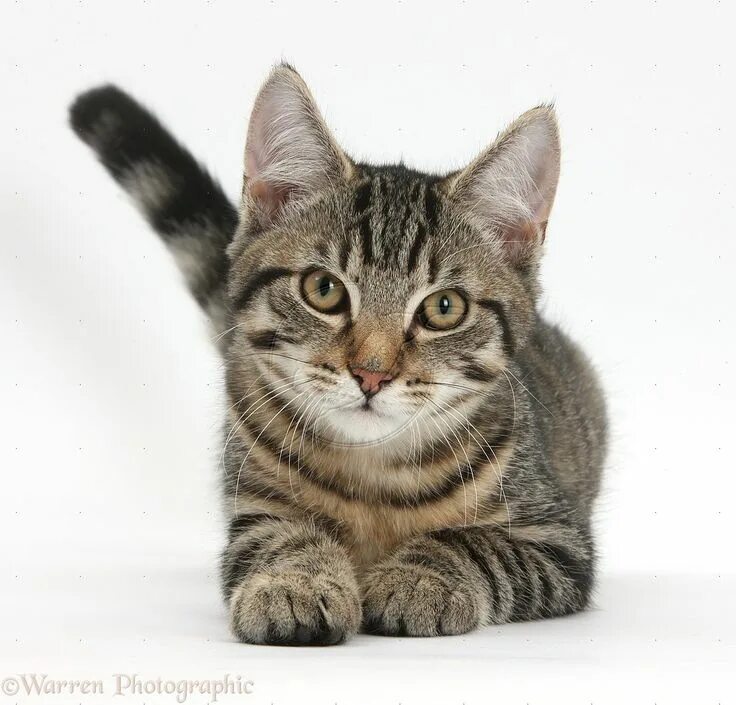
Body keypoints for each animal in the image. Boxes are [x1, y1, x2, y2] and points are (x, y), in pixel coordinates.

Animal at [72, 64, 608, 644]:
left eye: (444, 307)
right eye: (323, 290)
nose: (371, 373)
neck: (375, 473)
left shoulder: (561, 542)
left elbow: (473, 544)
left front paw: (419, 578)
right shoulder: (253, 508)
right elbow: (280, 538)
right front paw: (295, 584)